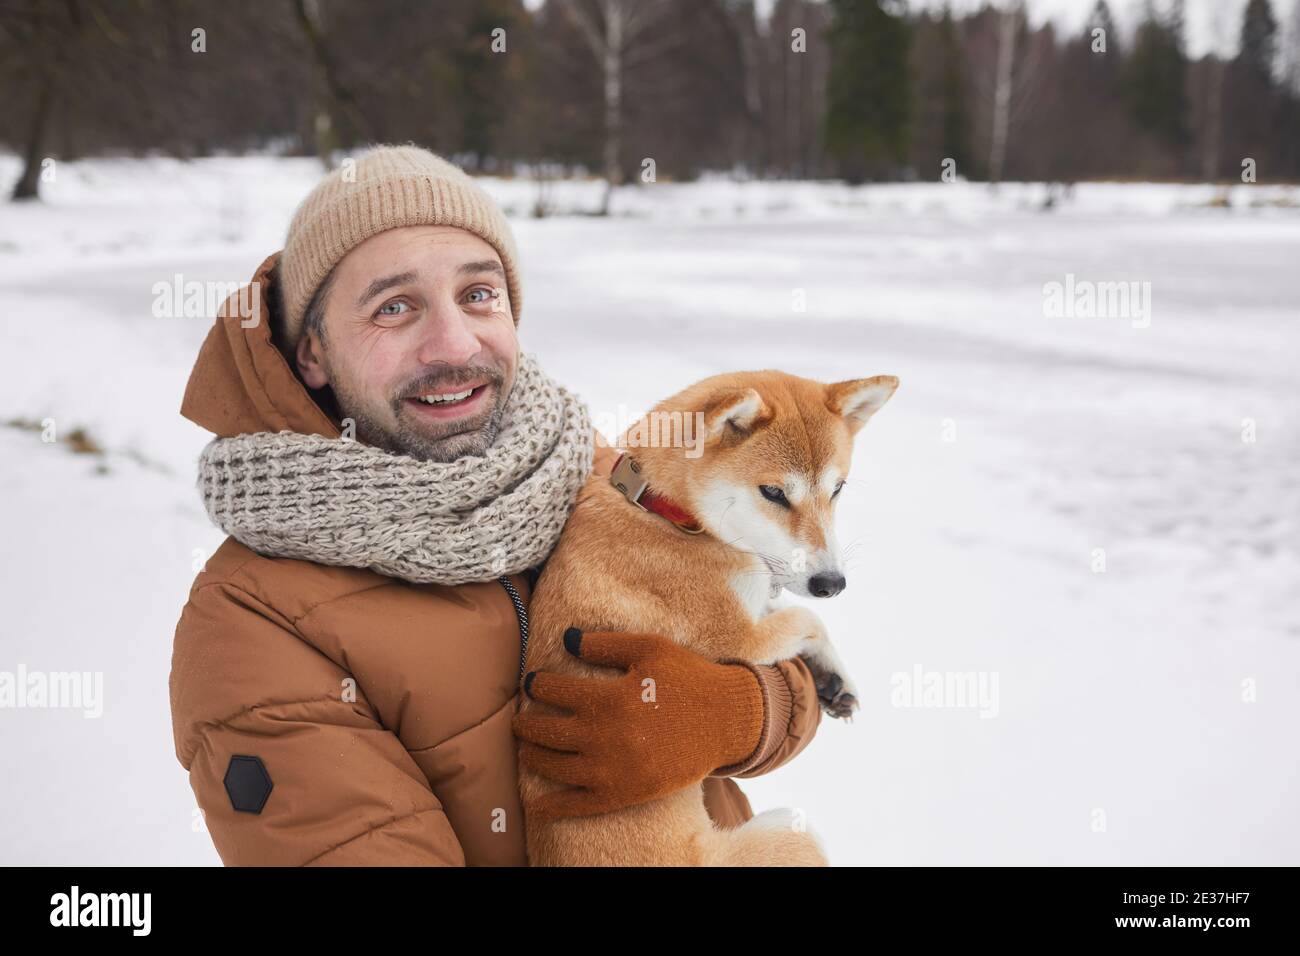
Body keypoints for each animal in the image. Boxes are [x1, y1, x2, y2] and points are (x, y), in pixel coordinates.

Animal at [514, 369, 894, 868]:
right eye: (773, 493)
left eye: (837, 489)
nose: (832, 583)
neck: (664, 512)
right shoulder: (741, 639)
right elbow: (806, 617)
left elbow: (793, 612)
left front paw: (835, 679)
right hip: (793, 827)